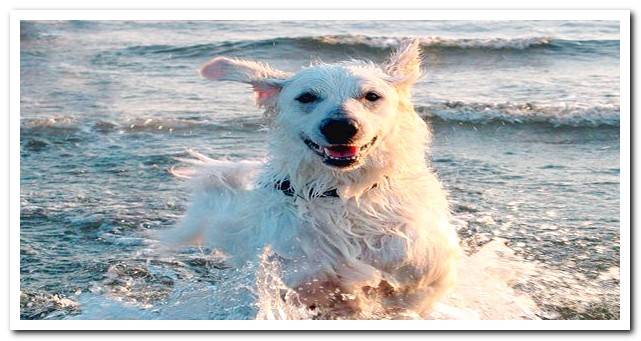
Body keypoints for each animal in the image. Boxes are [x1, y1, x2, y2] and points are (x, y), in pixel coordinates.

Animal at [168, 39, 460, 318]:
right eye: (306, 97)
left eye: (371, 96)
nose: (340, 126)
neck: (341, 192)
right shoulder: (296, 277)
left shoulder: (423, 270)